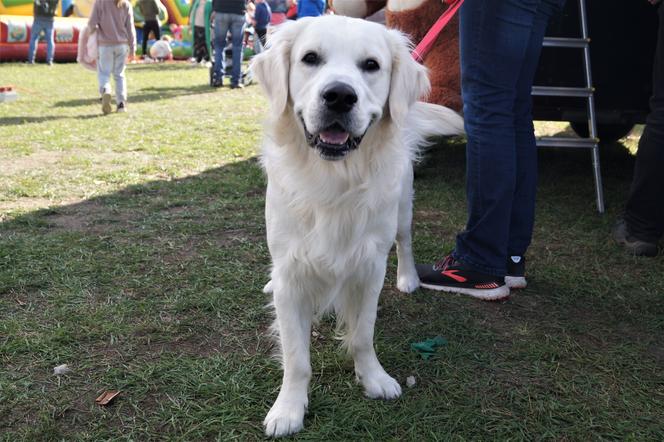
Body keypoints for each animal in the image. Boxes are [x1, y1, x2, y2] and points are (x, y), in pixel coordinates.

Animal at [252, 15, 464, 436]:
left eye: (371, 65)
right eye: (310, 58)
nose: (339, 96)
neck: (333, 181)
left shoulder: (368, 268)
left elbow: (363, 335)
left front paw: (374, 378)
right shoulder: (291, 273)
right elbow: (296, 357)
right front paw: (289, 408)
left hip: (402, 208)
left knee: (405, 241)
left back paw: (409, 278)